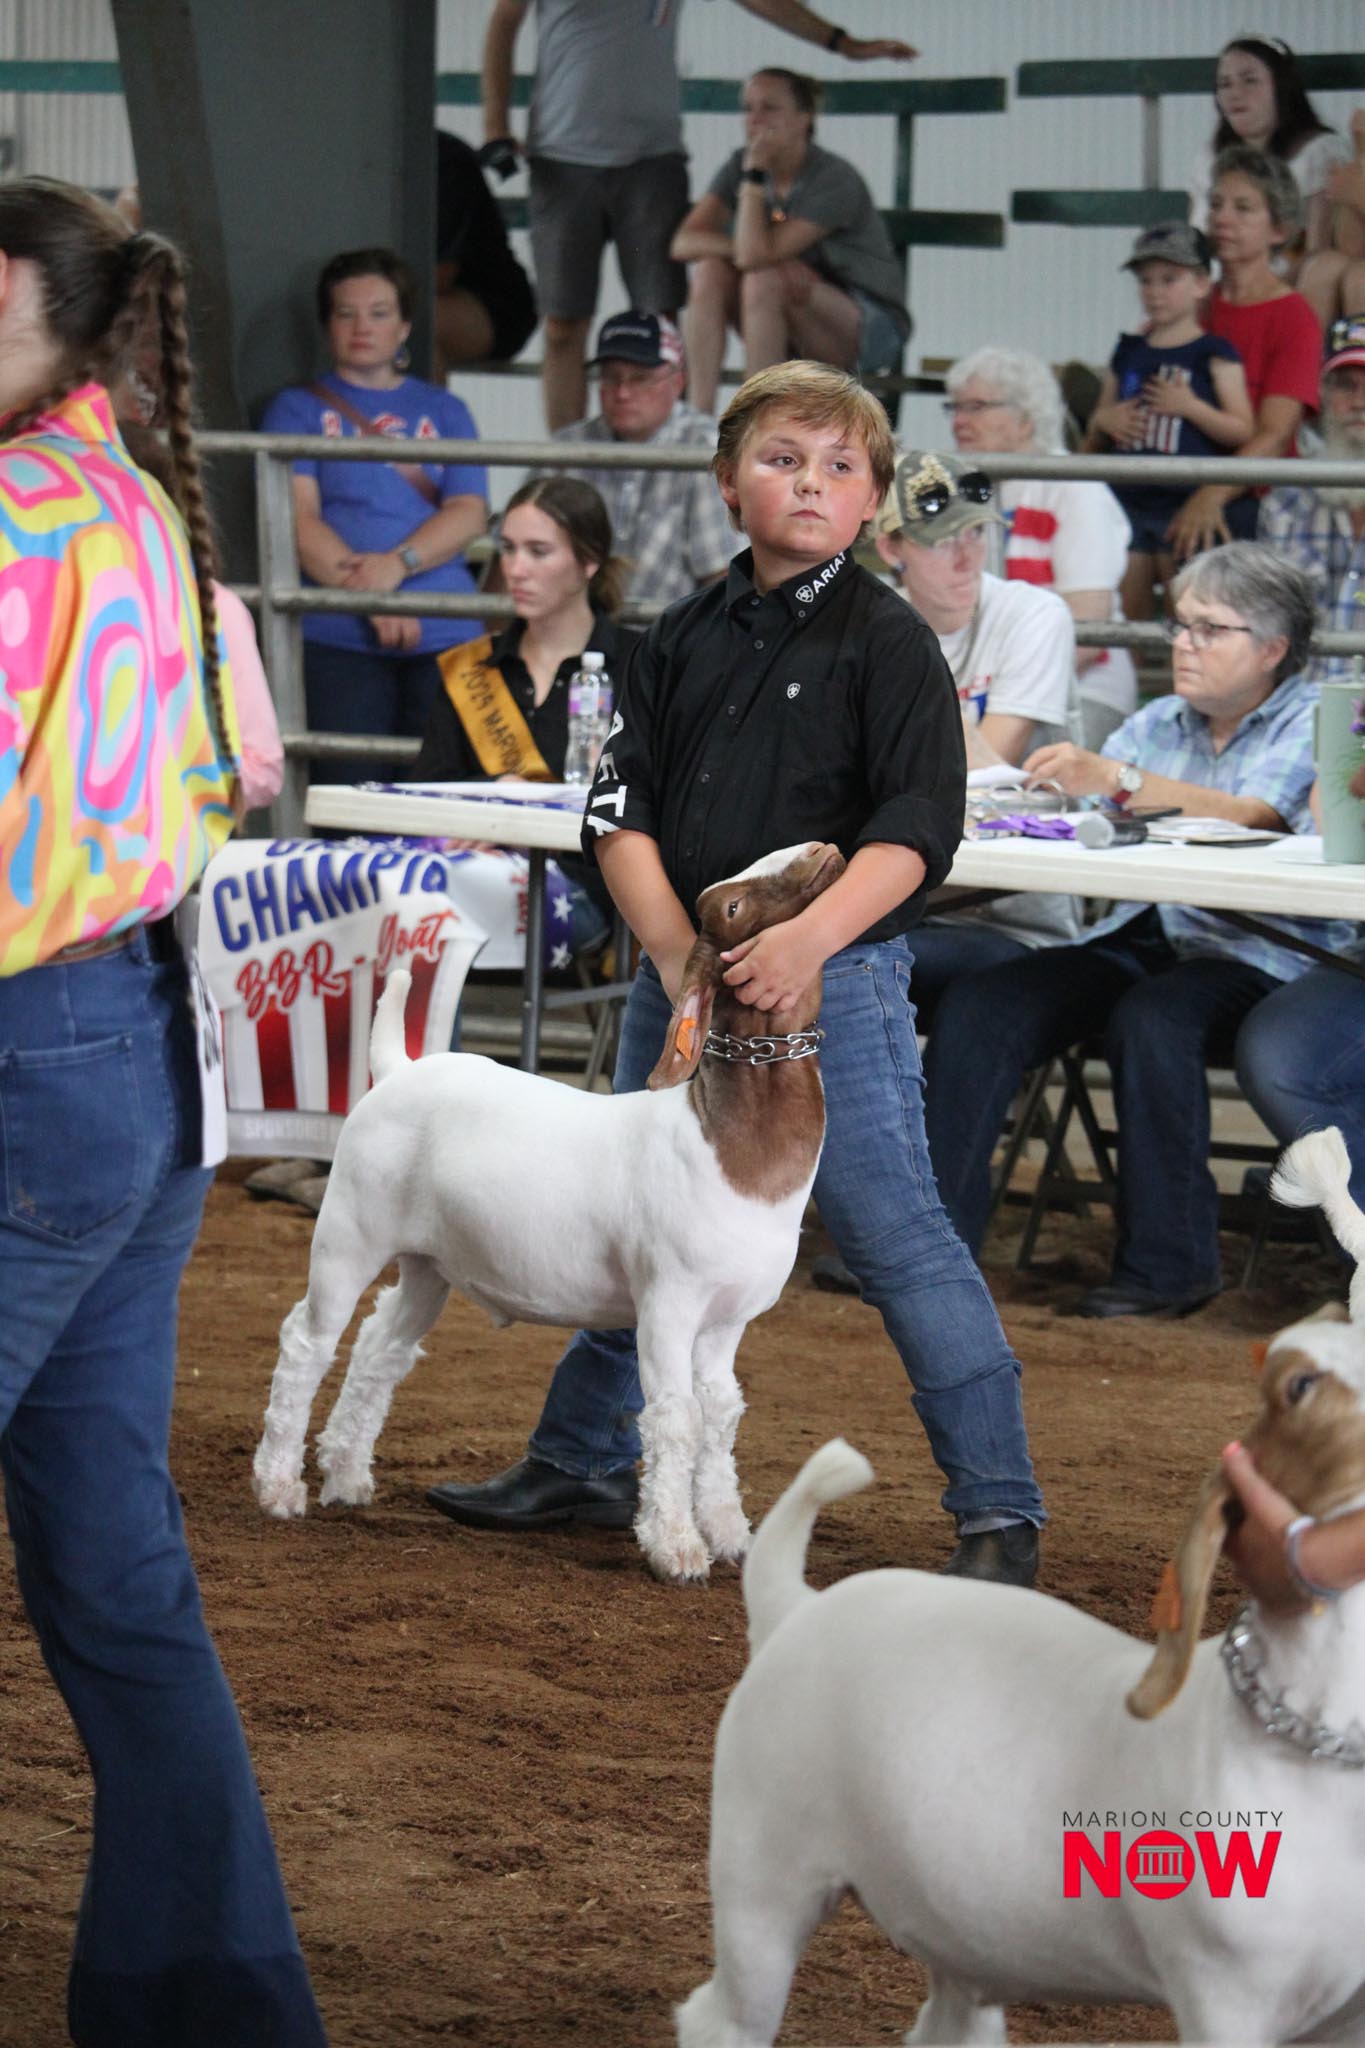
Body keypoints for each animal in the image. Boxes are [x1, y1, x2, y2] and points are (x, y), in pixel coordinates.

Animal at [252, 840, 844, 1584]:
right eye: (733, 906)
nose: (824, 850)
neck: (725, 1139)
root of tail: (396, 1068)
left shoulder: (726, 1320)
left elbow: (719, 1415)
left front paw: (731, 1533)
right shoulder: (668, 1303)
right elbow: (673, 1418)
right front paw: (676, 1548)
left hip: (430, 1262)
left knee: (381, 1345)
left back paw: (347, 1476)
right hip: (349, 1231)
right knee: (308, 1341)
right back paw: (279, 1487)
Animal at [678, 1127, 1365, 2046]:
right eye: (1297, 1386)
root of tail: (796, 1607)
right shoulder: (1225, 1996)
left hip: (957, 1922)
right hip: (764, 1869)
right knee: (722, 2015)